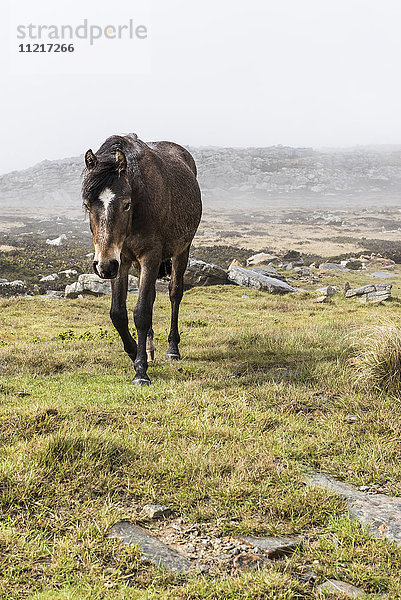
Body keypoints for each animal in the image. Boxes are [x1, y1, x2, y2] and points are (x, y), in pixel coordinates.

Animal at [81, 134, 202, 386]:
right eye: (87, 205)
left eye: (126, 203)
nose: (102, 265)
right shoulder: (120, 261)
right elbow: (118, 313)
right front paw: (134, 351)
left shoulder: (150, 256)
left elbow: (142, 311)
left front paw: (140, 371)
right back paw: (148, 348)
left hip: (181, 251)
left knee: (175, 294)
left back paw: (172, 348)